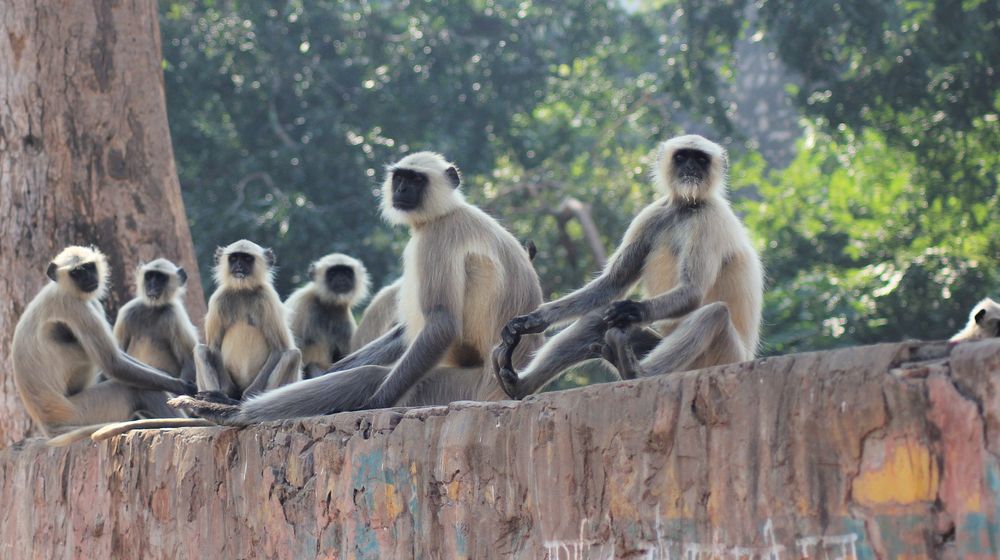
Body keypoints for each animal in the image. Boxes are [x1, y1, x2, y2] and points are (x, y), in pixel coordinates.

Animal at [11, 246, 195, 446]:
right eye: (76, 272)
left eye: (89, 267)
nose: (88, 278)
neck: (61, 287)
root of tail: (49, 427)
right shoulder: (73, 305)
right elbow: (113, 363)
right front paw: (182, 387)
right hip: (81, 413)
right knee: (135, 388)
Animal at [171, 152, 544, 424]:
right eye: (400, 178)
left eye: (416, 180)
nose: (401, 191)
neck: (447, 212)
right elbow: (405, 333)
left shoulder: (437, 238)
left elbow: (441, 324)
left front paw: (374, 403)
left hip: (458, 387)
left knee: (367, 376)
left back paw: (229, 413)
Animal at [492, 134, 764, 397]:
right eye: (682, 157)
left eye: (701, 159)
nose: (691, 169)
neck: (686, 208)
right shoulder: (652, 215)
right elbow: (613, 283)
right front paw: (532, 320)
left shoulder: (709, 220)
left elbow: (693, 290)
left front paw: (633, 309)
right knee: (597, 318)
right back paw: (519, 386)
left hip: (723, 357)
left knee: (714, 313)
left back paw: (635, 372)